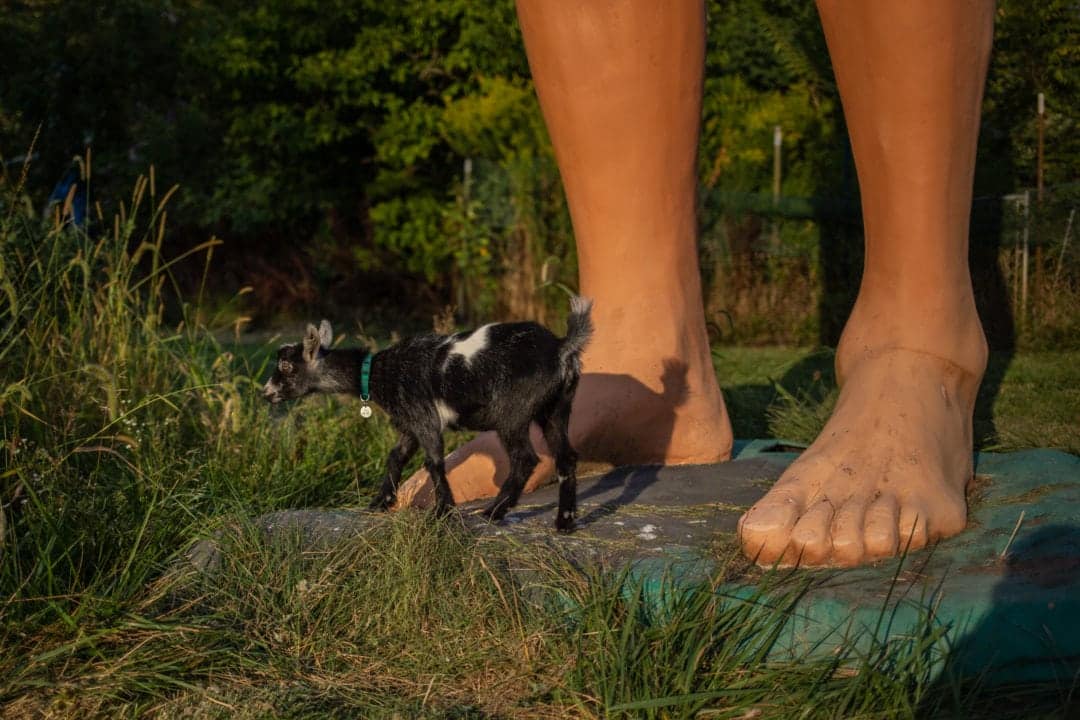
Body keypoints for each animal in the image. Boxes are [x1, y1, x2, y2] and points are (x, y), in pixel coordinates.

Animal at [262, 297, 593, 532]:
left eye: (286, 367)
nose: (265, 393)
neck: (380, 372)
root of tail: (561, 348)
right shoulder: (409, 424)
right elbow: (396, 457)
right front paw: (380, 502)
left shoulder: (424, 418)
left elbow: (433, 461)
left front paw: (442, 510)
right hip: (556, 408)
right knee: (566, 457)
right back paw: (564, 521)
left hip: (512, 412)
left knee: (525, 458)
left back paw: (494, 511)